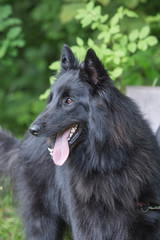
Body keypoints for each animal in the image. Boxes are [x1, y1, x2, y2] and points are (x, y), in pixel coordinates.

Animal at [0, 44, 160, 238]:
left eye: (69, 100)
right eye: (50, 100)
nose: (33, 130)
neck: (103, 162)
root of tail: (22, 145)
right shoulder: (86, 225)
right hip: (43, 223)